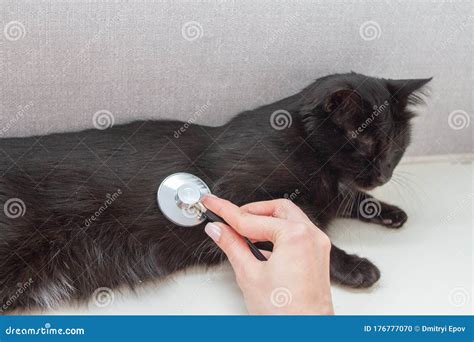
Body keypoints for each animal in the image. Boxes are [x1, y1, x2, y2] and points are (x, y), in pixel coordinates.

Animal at [0, 72, 430, 312]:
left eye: (396, 144)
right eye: (364, 144)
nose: (384, 173)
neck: (307, 149)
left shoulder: (331, 192)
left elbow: (346, 199)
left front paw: (388, 211)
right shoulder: (245, 198)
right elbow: (315, 234)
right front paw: (356, 267)